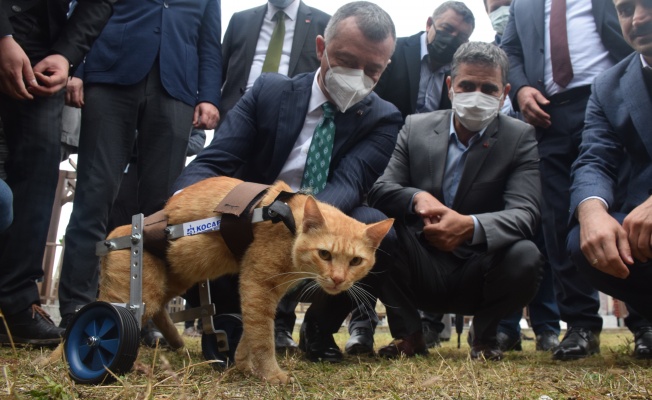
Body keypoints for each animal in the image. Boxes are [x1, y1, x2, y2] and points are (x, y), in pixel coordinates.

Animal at [97, 177, 392, 382]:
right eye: (325, 254)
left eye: (356, 261)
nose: (338, 279)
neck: (286, 222)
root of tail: (115, 236)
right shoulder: (257, 285)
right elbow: (262, 337)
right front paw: (271, 375)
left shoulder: (265, 294)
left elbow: (250, 332)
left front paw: (240, 362)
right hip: (140, 291)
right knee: (115, 313)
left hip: (177, 278)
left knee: (159, 309)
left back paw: (176, 340)